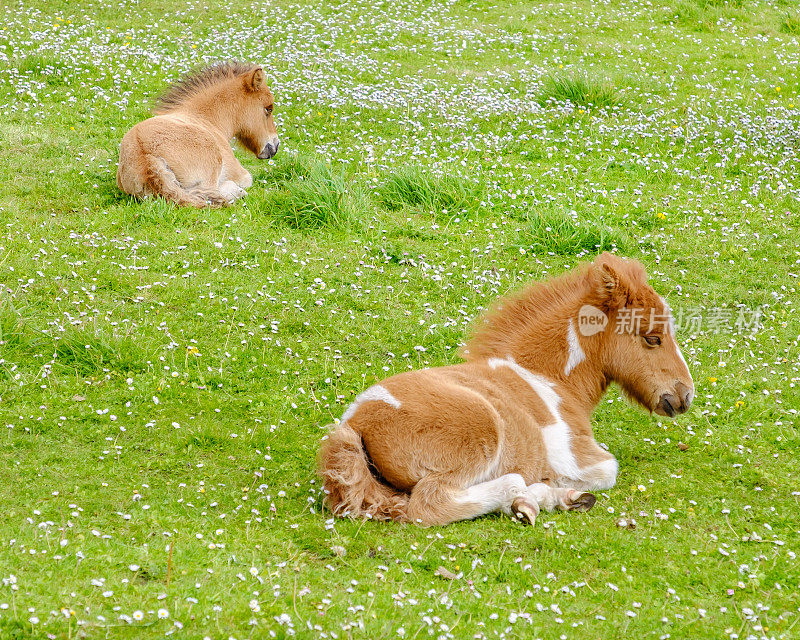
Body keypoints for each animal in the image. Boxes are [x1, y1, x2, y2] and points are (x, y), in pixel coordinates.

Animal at [115, 62, 282, 208]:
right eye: (268, 109)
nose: (275, 146)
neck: (206, 118)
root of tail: (147, 157)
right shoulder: (240, 173)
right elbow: (248, 180)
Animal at [320, 252, 692, 528]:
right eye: (652, 338)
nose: (685, 395)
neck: (550, 379)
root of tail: (357, 424)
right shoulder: (574, 456)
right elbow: (606, 470)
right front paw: (545, 496)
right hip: (479, 436)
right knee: (430, 504)